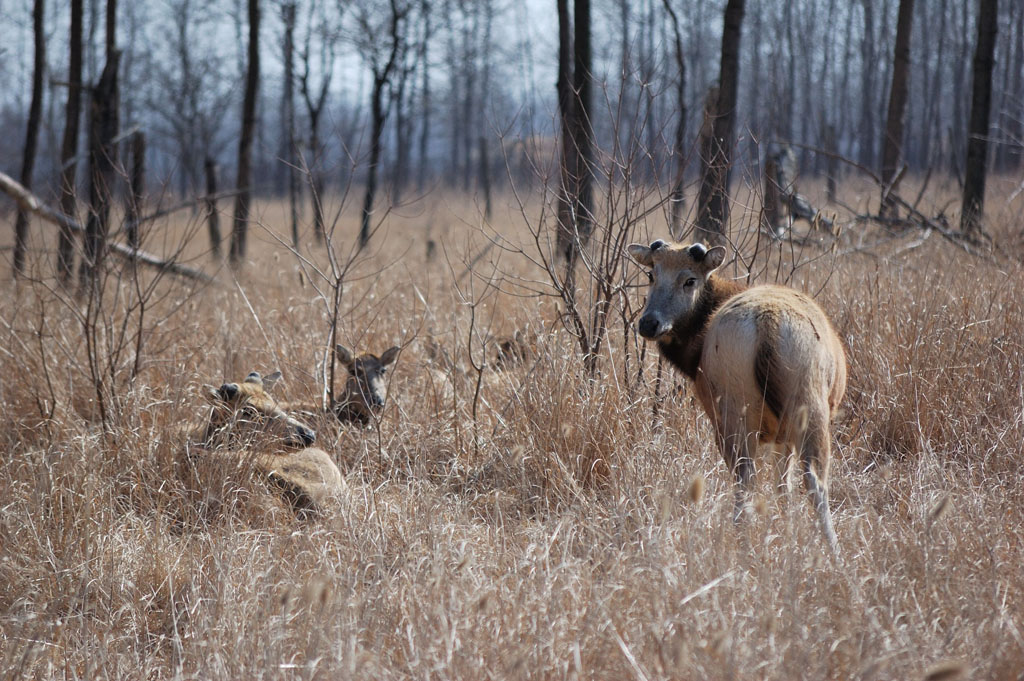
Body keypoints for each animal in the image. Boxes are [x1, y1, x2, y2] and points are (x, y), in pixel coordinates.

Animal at [626, 238, 843, 552]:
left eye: (690, 280)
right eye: (651, 274)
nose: (648, 323)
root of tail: (768, 322)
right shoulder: (781, 435)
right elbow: (783, 487)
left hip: (746, 410)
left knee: (754, 477)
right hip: (799, 405)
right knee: (799, 479)